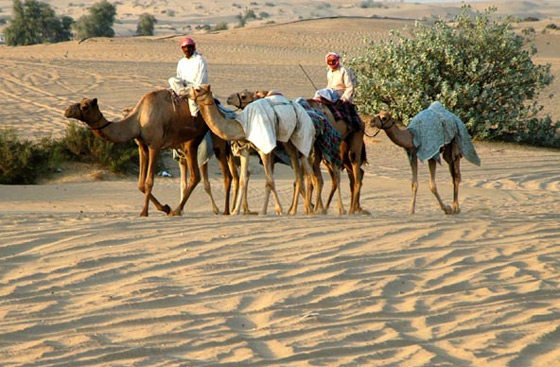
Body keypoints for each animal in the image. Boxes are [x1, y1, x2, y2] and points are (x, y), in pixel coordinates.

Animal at [64, 89, 234, 217]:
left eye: (85, 106)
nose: (67, 110)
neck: (137, 120)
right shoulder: (142, 147)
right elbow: (140, 184)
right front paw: (165, 208)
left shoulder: (154, 145)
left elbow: (148, 182)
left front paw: (144, 212)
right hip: (190, 143)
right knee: (201, 175)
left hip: (215, 139)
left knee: (219, 173)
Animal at [184, 84, 316, 216]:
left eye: (198, 89)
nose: (228, 98)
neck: (243, 127)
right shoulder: (245, 150)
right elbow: (244, 179)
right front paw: (236, 211)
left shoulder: (264, 150)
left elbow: (269, 181)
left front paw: (273, 210)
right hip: (290, 147)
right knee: (300, 175)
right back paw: (300, 209)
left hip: (301, 142)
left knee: (307, 173)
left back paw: (304, 209)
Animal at [228, 90, 368, 216]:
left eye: (244, 95)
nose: (229, 98)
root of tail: (361, 121)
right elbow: (294, 179)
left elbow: (302, 179)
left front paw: (300, 208)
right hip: (336, 150)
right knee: (347, 175)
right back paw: (349, 208)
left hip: (347, 144)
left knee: (348, 173)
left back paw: (346, 210)